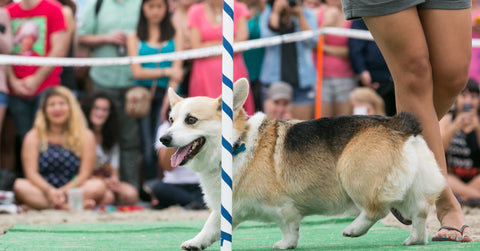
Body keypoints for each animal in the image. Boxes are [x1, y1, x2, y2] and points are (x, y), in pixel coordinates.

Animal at [160, 78, 446, 249]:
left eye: (191, 120)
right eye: (171, 119)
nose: (163, 139)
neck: (235, 143)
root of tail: (398, 124)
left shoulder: (282, 206)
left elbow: (288, 227)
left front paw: (285, 244)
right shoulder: (229, 207)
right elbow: (211, 226)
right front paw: (195, 242)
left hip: (351, 171)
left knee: (377, 209)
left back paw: (353, 229)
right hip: (413, 187)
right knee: (421, 211)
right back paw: (415, 239)